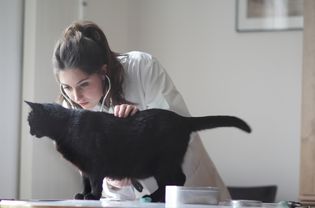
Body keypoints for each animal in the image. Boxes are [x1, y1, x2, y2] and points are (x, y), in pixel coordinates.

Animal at [25, 101, 252, 202]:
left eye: (29, 120)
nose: (28, 131)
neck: (66, 127)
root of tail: (182, 119)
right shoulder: (83, 169)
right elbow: (86, 182)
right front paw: (82, 195)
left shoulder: (95, 164)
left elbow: (96, 182)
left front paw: (93, 197)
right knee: (176, 179)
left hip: (163, 163)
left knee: (178, 178)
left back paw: (155, 197)